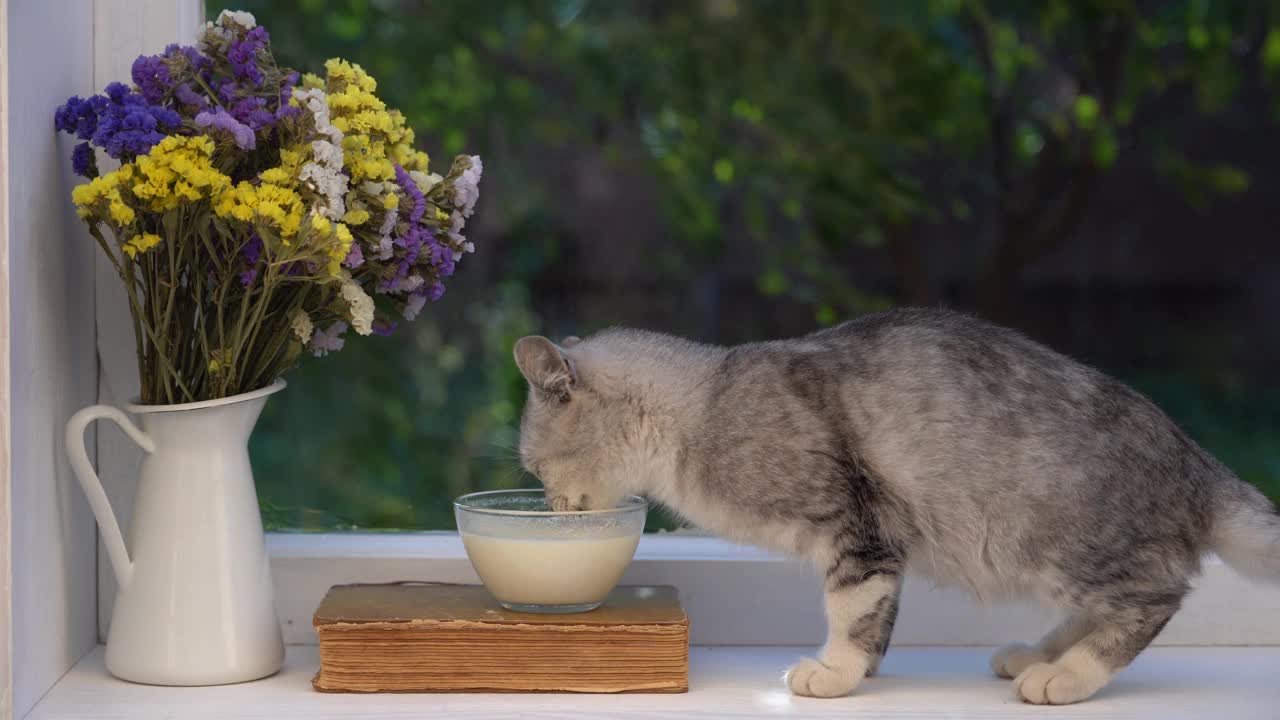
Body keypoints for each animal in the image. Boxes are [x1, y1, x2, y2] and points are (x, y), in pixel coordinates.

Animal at [512, 307, 1280, 702]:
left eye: (535, 466)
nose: (549, 507)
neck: (705, 402)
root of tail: (1196, 460)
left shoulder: (855, 530)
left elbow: (851, 611)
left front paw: (833, 673)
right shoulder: (884, 545)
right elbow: (878, 617)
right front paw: (865, 669)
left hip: (1064, 543)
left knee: (1153, 598)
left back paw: (1064, 676)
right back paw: (1035, 653)